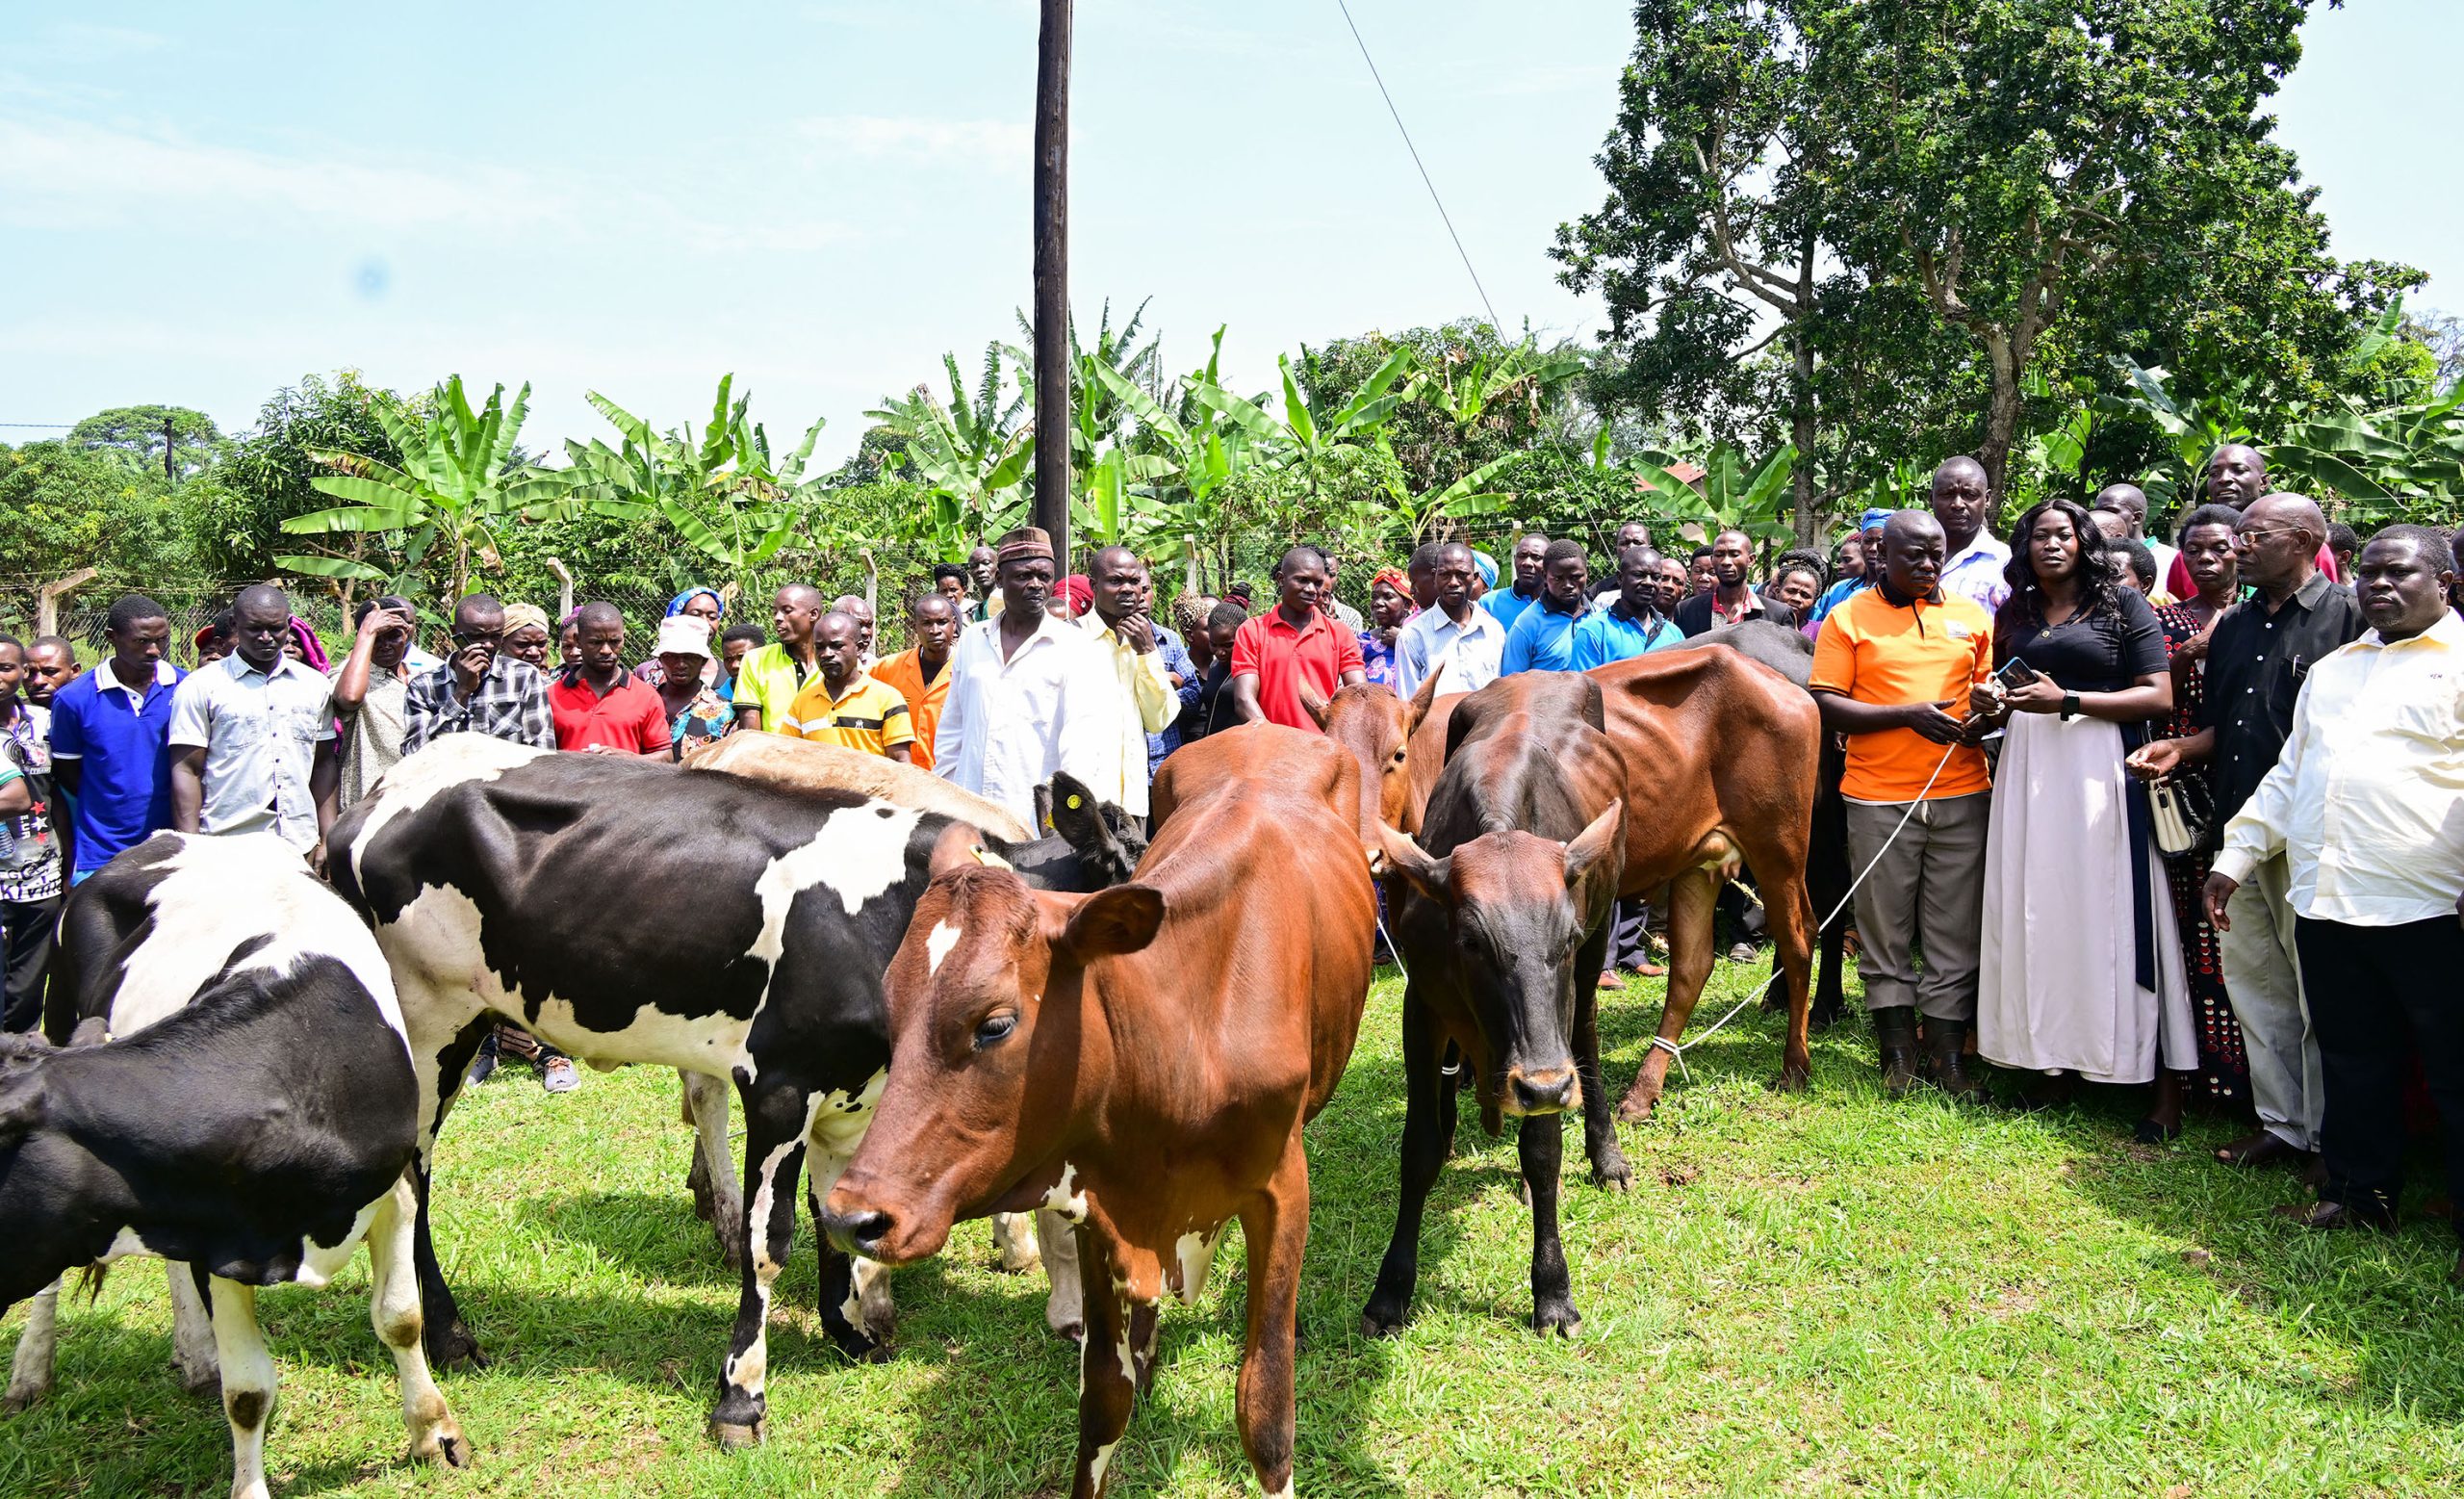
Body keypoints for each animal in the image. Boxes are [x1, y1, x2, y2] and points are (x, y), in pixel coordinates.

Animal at [1, 833, 465, 1498]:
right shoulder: (217, 1240)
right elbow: (247, 1392)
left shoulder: (394, 1187)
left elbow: (401, 1318)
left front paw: (435, 1434)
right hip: (60, 1015)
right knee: (53, 1281)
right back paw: (33, 1371)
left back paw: (194, 1357)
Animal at [315, 730, 1133, 1449]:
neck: (891, 917)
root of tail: (380, 790)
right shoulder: (779, 1084)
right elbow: (770, 1242)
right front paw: (742, 1397)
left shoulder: (848, 1094)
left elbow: (834, 1217)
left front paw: (849, 1330)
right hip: (427, 1029)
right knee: (414, 1181)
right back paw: (451, 1336)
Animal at [817, 724, 1379, 1498]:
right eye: (892, 1011)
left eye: (995, 1024)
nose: (851, 1217)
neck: (1188, 1029)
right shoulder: (1096, 1199)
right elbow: (1103, 1401)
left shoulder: (1282, 1193)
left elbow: (1265, 1410)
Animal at [1370, 675, 1635, 1341]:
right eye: (1470, 940)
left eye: (1564, 936)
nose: (1542, 1087)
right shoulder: (1422, 1008)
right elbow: (1419, 1148)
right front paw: (1391, 1289)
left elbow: (1542, 1153)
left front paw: (1553, 1291)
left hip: (1596, 956)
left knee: (1586, 1035)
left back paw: (1606, 1155)